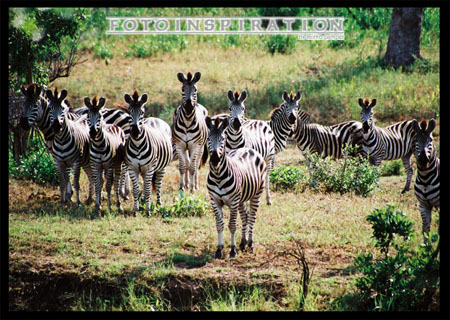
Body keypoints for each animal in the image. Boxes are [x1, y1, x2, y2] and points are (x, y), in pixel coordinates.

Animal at [205, 116, 268, 258]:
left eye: (222, 139)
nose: (215, 159)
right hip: (241, 198)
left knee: (252, 217)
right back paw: (243, 243)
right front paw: (219, 249)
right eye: (208, 138)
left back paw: (250, 244)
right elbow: (219, 225)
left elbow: (232, 225)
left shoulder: (233, 201)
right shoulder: (214, 201)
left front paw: (232, 250)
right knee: (245, 215)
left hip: (256, 194)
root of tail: (249, 149)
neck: (218, 176)